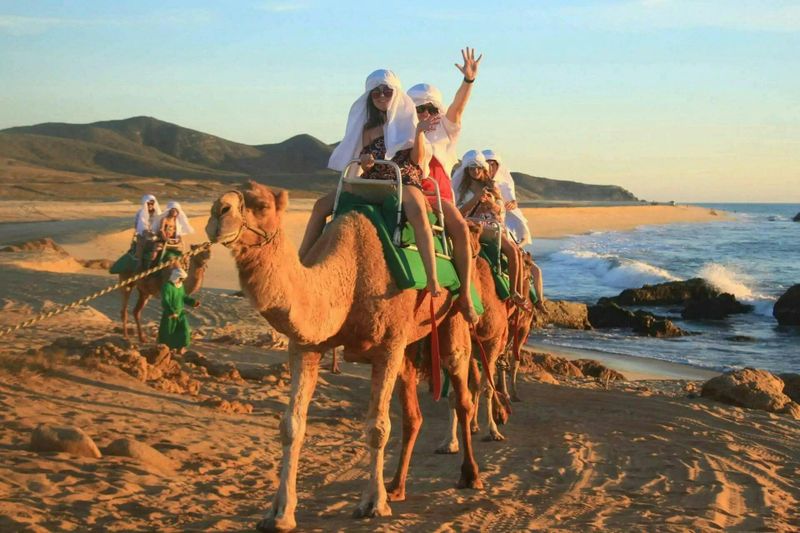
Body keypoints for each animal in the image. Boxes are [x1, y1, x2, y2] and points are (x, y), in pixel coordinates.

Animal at [205, 182, 480, 531]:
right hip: (408, 346)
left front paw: (373, 503)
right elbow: (291, 425)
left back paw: (470, 476)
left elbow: (377, 427)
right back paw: (397, 487)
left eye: (263, 206)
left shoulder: (387, 345)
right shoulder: (306, 346)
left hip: (451, 316)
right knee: (413, 414)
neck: (349, 275)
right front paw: (279, 513)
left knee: (461, 392)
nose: (218, 212)